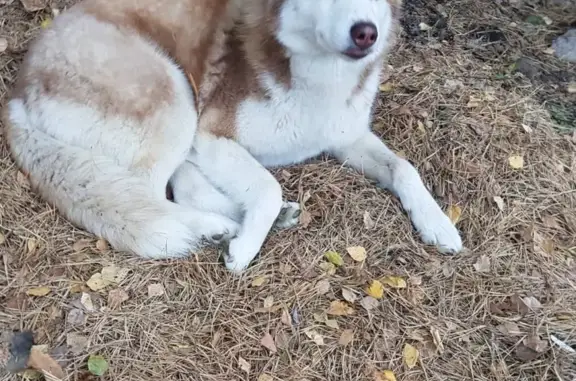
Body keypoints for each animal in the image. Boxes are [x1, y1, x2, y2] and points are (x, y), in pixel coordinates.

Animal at [3, 0, 464, 272]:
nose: (365, 31)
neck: (319, 77)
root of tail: (16, 91)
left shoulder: (347, 137)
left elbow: (405, 168)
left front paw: (437, 223)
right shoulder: (212, 136)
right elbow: (269, 186)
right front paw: (246, 249)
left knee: (178, 189)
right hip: (174, 98)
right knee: (148, 195)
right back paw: (217, 228)